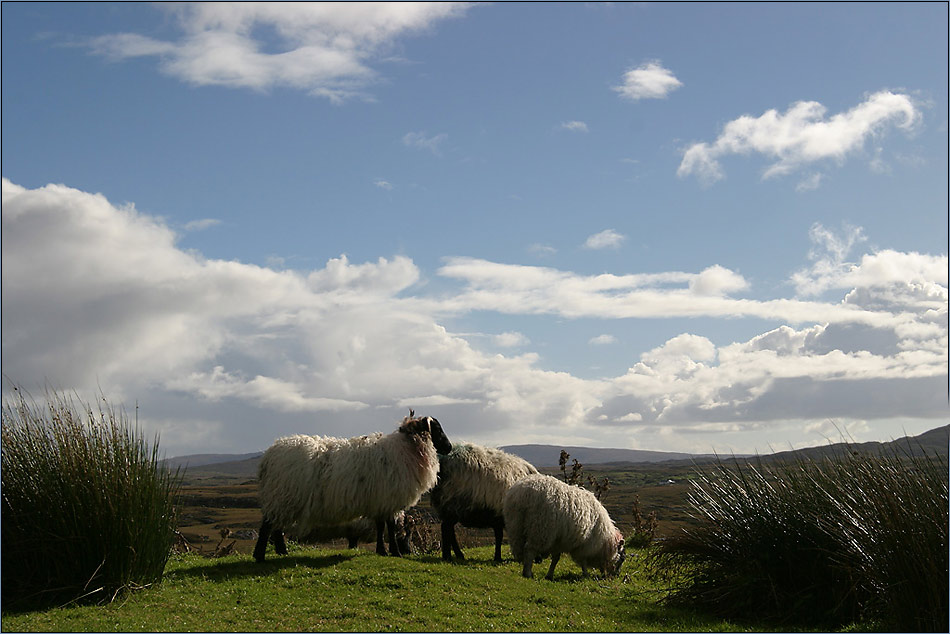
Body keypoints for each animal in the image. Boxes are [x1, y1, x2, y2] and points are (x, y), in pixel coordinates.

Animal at [255, 412, 452, 560]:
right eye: (437, 428)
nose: (449, 448)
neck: (407, 449)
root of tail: (268, 456)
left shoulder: (379, 501)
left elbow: (380, 526)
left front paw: (382, 551)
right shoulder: (389, 499)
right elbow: (389, 526)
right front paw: (395, 552)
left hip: (282, 498)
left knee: (276, 527)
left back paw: (281, 551)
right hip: (282, 495)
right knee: (267, 526)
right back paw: (260, 556)